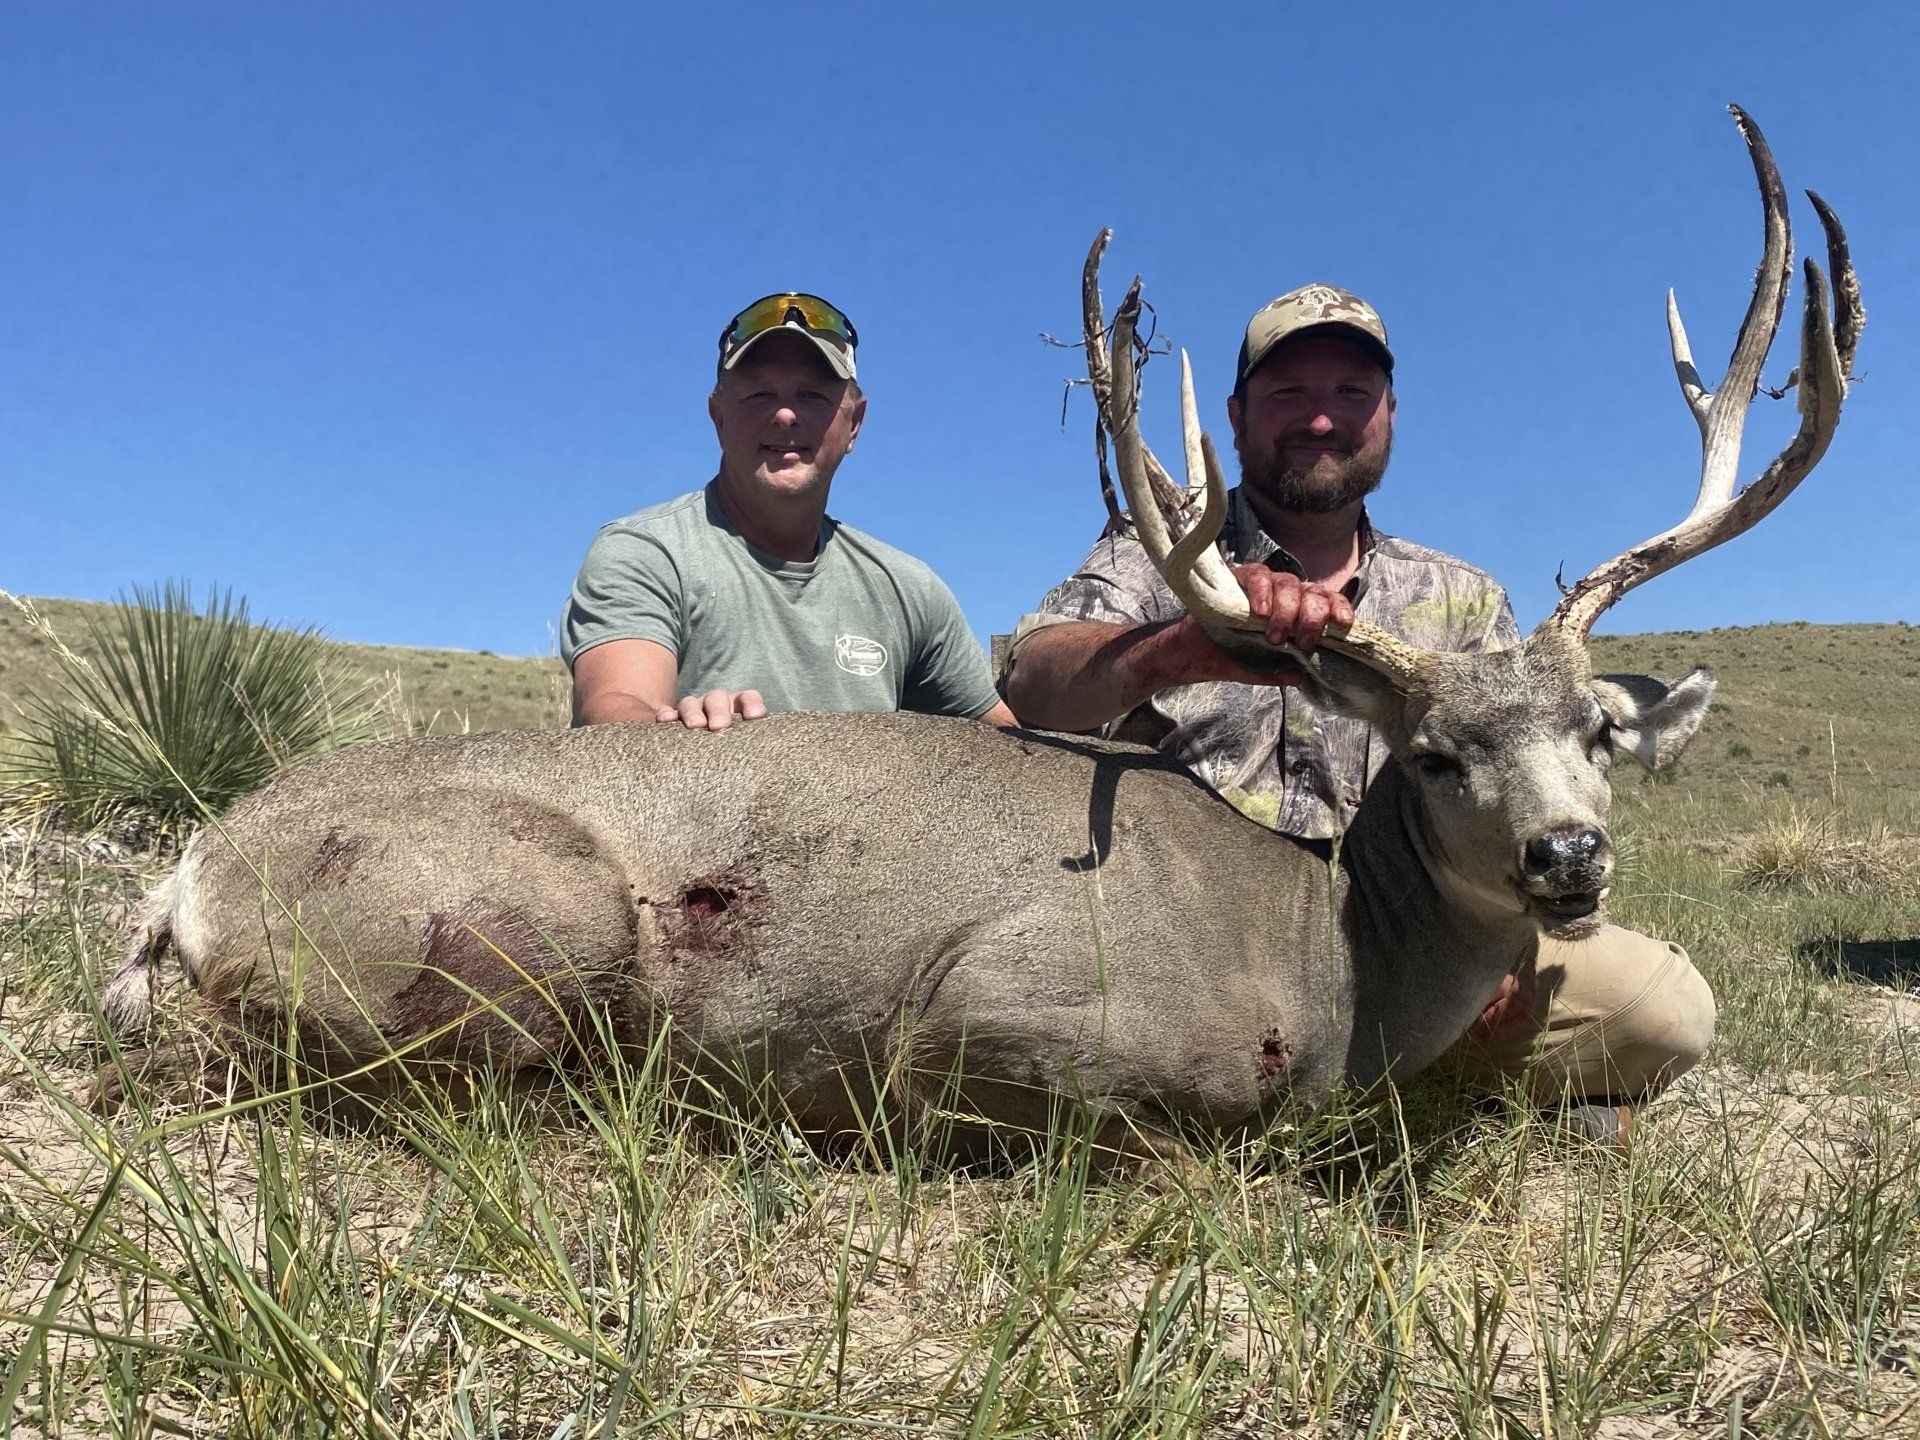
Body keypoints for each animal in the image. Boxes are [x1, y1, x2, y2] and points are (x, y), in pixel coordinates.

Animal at [101, 108, 1859, 1159]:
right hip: (527, 932)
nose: (1570, 857)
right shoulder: (1005, 1015)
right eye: (1432, 755)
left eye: (1602, 732)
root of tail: (185, 877)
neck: (1328, 966)